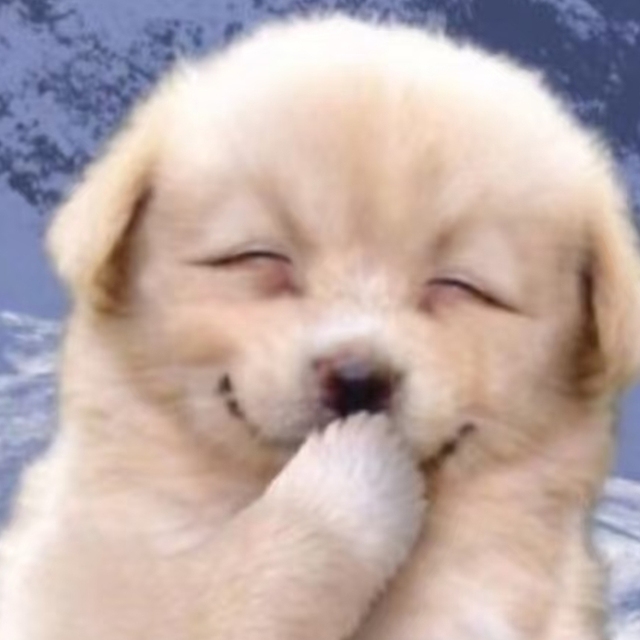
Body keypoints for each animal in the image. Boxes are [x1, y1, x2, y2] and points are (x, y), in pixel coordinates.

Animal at [1, 15, 639, 640]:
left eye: (461, 286)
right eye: (258, 257)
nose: (358, 380)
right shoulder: (95, 583)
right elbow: (224, 582)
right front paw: (353, 475)